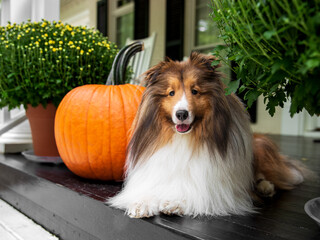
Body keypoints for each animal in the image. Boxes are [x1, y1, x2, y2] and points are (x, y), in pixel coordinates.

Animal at [108, 52, 308, 218]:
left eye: (195, 91)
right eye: (171, 93)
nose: (181, 114)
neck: (183, 139)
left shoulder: (215, 189)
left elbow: (195, 193)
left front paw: (174, 201)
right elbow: (149, 190)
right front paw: (142, 203)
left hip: (257, 147)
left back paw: (265, 186)